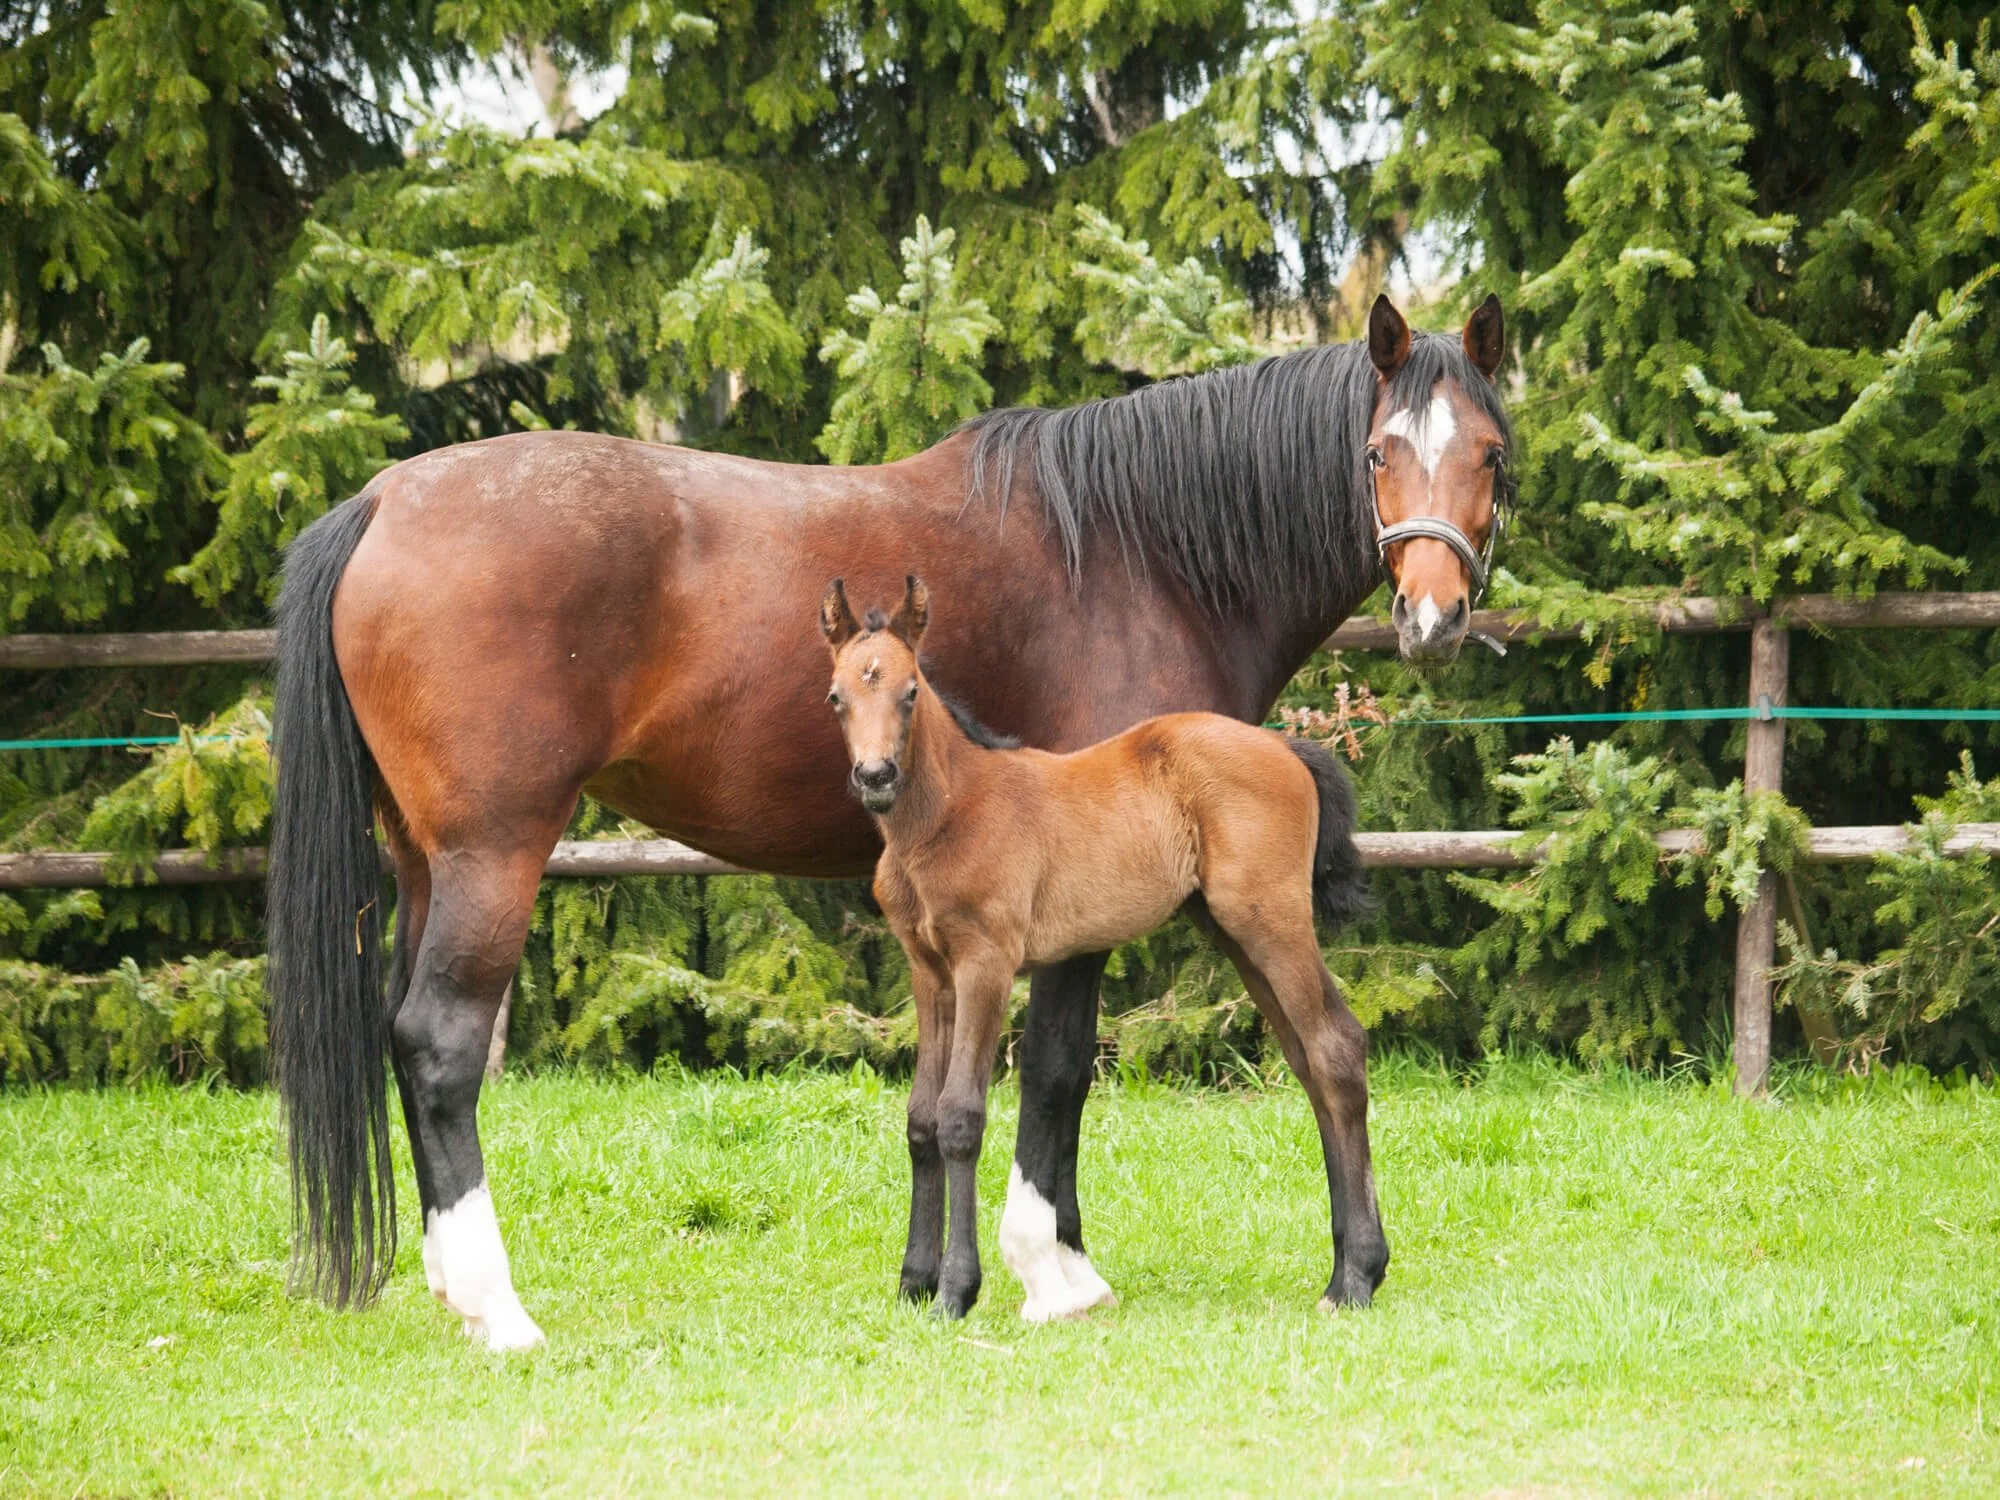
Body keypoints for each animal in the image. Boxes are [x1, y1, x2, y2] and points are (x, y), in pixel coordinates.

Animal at [820, 575, 1384, 1319]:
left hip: (1272, 920)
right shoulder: (928, 970)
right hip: (1235, 929)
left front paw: (956, 1291)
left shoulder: (986, 964)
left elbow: (960, 1116)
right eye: (837, 696)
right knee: (1310, 1058)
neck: (948, 813)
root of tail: (1287, 748)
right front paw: (915, 1281)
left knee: (1335, 1047)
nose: (876, 776)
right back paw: (1351, 1268)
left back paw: (1355, 1280)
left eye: (911, 690)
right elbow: (919, 1119)